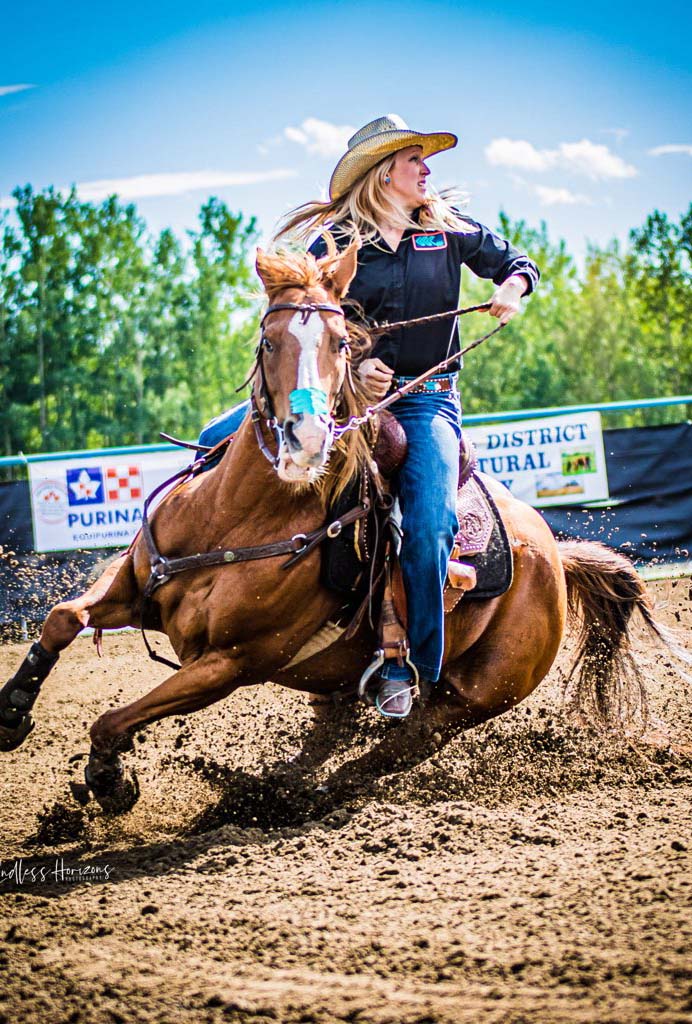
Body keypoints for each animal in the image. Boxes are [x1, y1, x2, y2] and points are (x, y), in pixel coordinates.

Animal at [0, 243, 679, 811]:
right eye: (268, 340)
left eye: (341, 344)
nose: (305, 439)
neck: (234, 520)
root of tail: (555, 556)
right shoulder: (135, 584)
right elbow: (62, 618)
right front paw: (12, 713)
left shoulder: (230, 663)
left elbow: (113, 720)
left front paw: (111, 780)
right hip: (340, 680)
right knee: (338, 731)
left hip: (476, 695)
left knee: (395, 749)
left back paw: (291, 797)